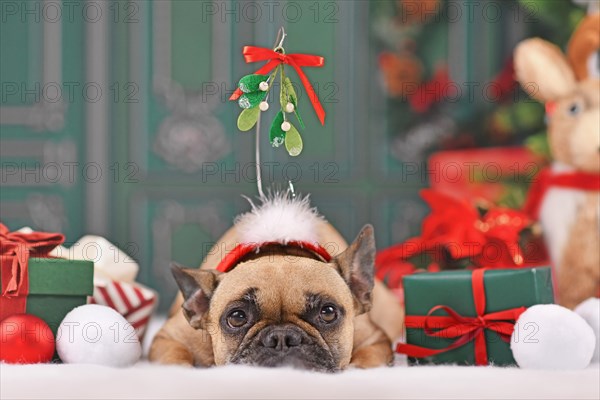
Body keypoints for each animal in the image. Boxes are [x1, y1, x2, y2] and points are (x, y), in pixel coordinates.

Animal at [149, 195, 404, 372]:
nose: (282, 338)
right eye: (237, 317)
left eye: (328, 312)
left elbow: (368, 359)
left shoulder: (375, 338)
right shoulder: (170, 337)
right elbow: (174, 357)